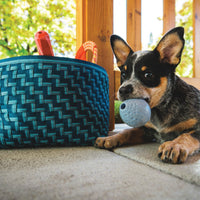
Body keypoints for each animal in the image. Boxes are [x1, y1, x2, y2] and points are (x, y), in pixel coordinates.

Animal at [95, 27, 200, 164]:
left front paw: (174, 145)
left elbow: (187, 135)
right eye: (123, 74)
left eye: (148, 75)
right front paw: (110, 138)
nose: (122, 90)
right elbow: (127, 131)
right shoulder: (147, 130)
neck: (160, 111)